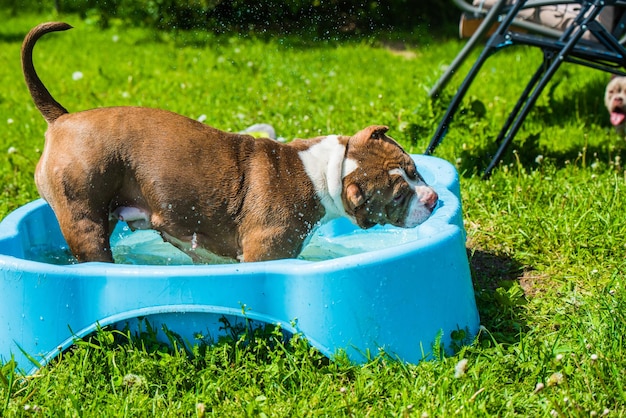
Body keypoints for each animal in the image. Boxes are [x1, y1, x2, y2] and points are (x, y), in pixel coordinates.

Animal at [22, 22, 436, 262]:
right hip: (84, 217)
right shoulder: (266, 254)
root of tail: (63, 118)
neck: (322, 172)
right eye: (399, 196)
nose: (432, 198)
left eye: (416, 170)